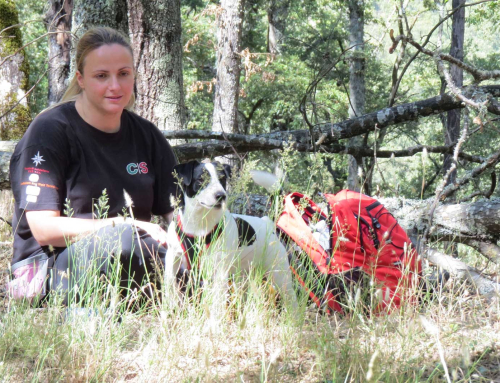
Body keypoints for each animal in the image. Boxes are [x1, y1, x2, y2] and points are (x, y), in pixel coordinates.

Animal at [165, 160, 296, 308]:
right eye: (201, 179)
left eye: (222, 179)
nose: (221, 195)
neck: (200, 225)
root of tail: (267, 223)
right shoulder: (172, 257)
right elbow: (170, 284)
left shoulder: (220, 270)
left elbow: (217, 301)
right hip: (244, 277)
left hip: (280, 275)